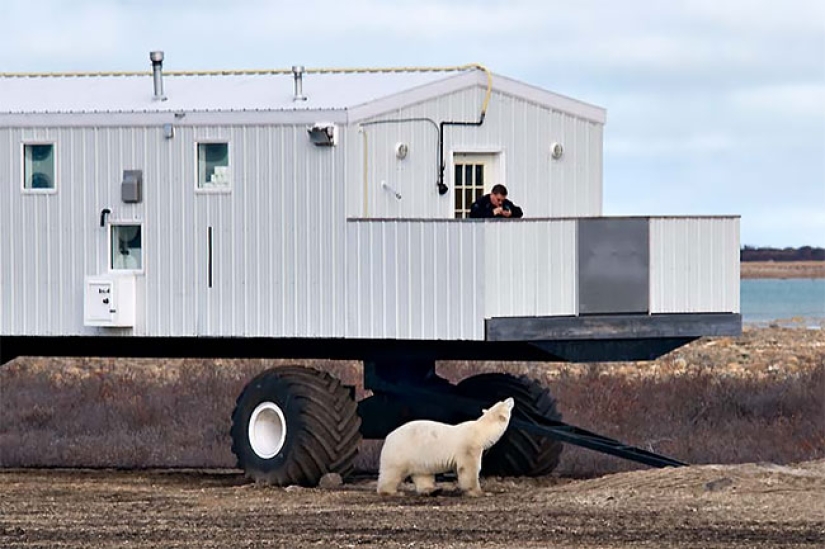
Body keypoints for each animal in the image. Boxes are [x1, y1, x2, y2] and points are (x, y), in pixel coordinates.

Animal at [376, 397, 514, 497]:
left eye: (501, 401)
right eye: (506, 403)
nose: (511, 398)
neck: (479, 432)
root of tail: (388, 438)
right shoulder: (469, 447)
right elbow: (469, 468)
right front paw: (480, 492)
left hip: (419, 456)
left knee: (422, 474)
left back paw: (433, 490)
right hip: (402, 451)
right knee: (393, 472)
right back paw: (393, 492)